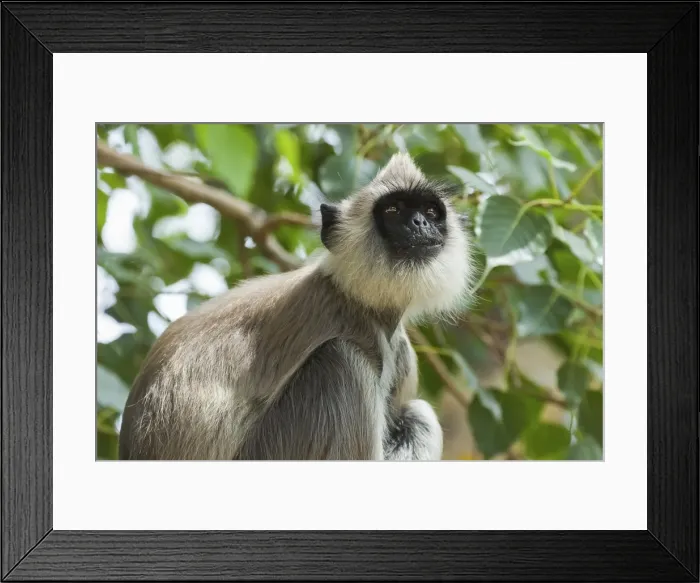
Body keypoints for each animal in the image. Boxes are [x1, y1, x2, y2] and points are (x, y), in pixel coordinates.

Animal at [118, 152, 473, 461]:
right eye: (393, 211)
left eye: (430, 212)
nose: (419, 223)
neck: (357, 302)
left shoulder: (400, 351)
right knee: (342, 360)